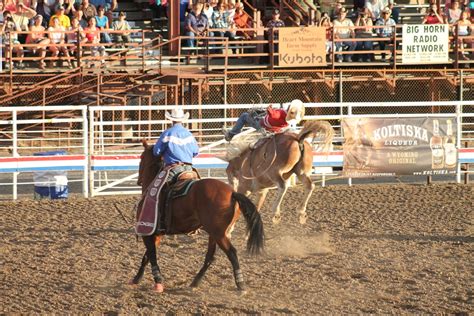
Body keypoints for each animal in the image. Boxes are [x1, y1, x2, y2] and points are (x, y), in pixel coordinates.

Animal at [131, 141, 264, 294]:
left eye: (141, 158)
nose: (139, 181)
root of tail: (232, 193)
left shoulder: (148, 232)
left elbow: (150, 256)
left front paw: (155, 281)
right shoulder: (157, 234)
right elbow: (147, 256)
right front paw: (137, 279)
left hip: (218, 234)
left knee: (231, 252)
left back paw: (240, 285)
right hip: (216, 233)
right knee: (210, 257)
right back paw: (195, 282)